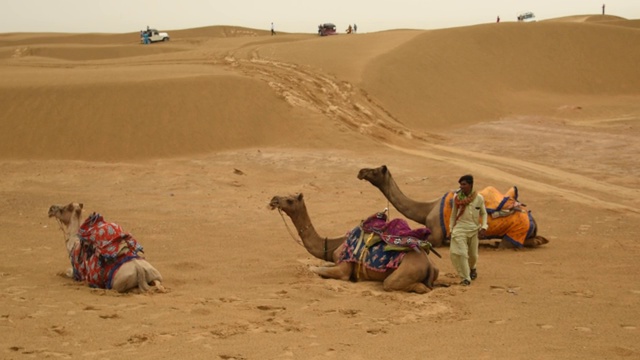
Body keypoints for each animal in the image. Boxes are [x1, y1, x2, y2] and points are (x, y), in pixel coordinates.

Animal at [268, 194, 440, 292]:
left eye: (290, 200)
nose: (273, 199)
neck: (332, 245)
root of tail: (429, 265)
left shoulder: (343, 269)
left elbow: (315, 269)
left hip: (404, 272)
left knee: (404, 285)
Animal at [356, 165, 552, 248]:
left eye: (374, 171)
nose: (361, 171)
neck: (427, 210)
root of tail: (533, 220)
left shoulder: (436, 235)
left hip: (514, 234)